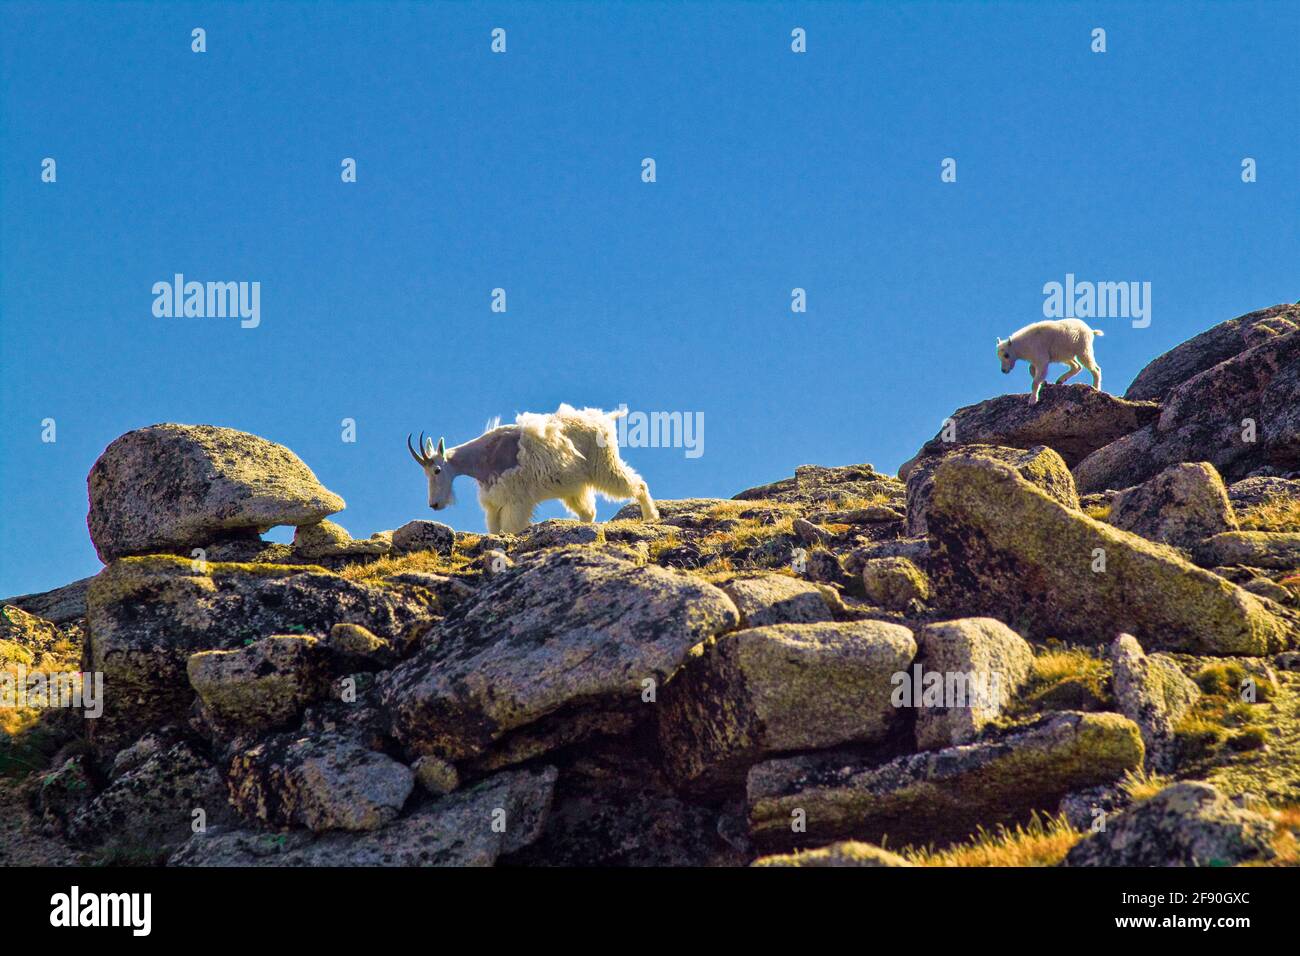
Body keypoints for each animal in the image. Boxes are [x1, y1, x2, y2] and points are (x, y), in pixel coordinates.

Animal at [407, 404, 660, 535]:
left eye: (437, 470)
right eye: (425, 473)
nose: (434, 504)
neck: (483, 457)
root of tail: (604, 419)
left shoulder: (516, 500)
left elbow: (511, 528)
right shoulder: (494, 504)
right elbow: (495, 529)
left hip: (604, 465)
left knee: (637, 484)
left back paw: (650, 516)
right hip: (574, 486)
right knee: (588, 512)